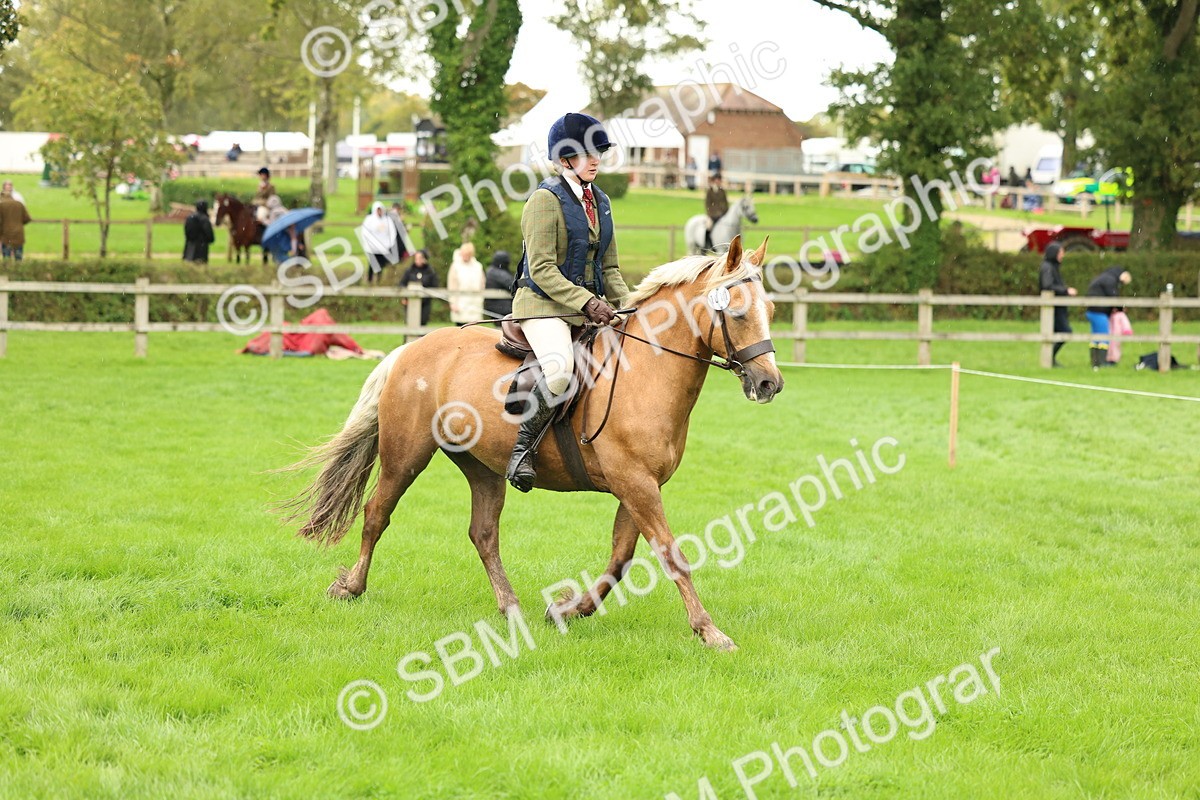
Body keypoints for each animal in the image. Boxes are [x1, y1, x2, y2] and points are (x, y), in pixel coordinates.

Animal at [282, 236, 784, 651]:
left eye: (772, 312)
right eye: (737, 312)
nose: (769, 384)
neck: (645, 371)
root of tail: (412, 347)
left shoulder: (638, 486)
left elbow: (620, 559)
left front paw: (568, 608)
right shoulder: (635, 483)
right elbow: (671, 555)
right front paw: (710, 631)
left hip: (482, 466)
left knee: (483, 533)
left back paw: (512, 609)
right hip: (406, 456)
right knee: (376, 514)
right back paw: (351, 586)